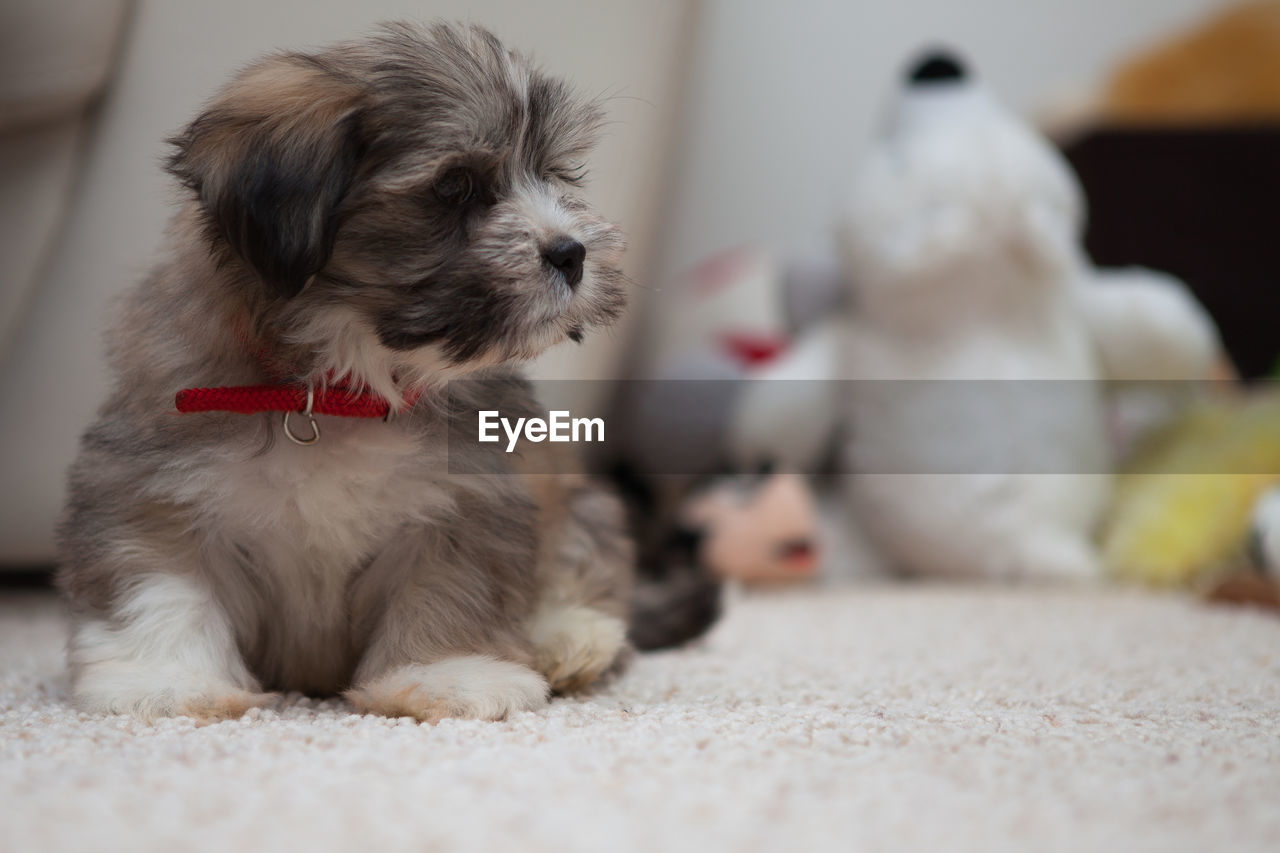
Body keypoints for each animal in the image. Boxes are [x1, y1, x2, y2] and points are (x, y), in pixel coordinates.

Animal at [56, 21, 634, 717]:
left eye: (553, 175)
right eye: (456, 186)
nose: (571, 253)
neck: (342, 387)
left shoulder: (465, 502)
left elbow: (447, 589)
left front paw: (448, 674)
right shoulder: (150, 488)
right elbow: (165, 583)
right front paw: (166, 681)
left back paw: (568, 638)